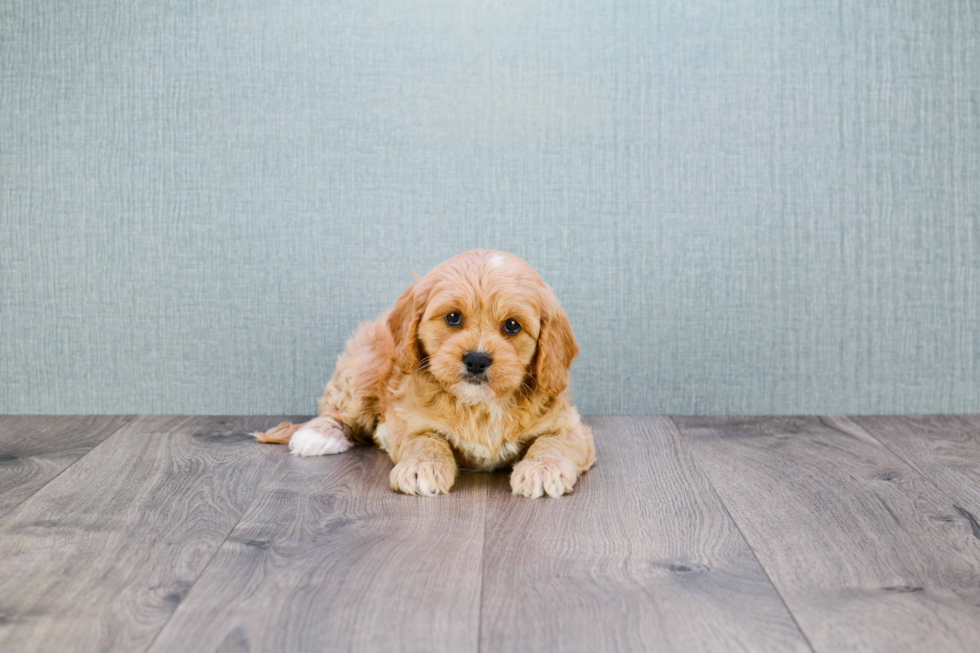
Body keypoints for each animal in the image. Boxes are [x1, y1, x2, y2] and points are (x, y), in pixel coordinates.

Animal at [256, 247, 592, 496]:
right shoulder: (408, 421)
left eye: (512, 326)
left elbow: (552, 442)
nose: (477, 360)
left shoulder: (570, 427)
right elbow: (427, 440)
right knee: (338, 409)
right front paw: (422, 467)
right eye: (453, 318)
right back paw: (317, 434)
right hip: (363, 369)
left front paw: (543, 470)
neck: (481, 405)